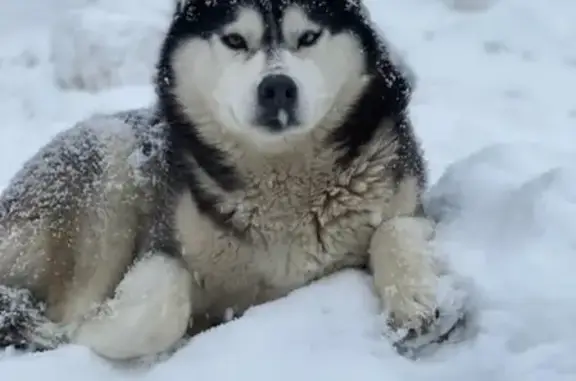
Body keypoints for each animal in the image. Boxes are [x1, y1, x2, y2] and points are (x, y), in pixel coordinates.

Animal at [0, 0, 464, 360]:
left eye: (307, 37)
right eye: (236, 40)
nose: (277, 88)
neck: (282, 184)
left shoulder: (405, 199)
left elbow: (394, 230)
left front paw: (416, 302)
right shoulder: (163, 237)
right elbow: (162, 299)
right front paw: (95, 332)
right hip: (106, 162)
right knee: (69, 303)